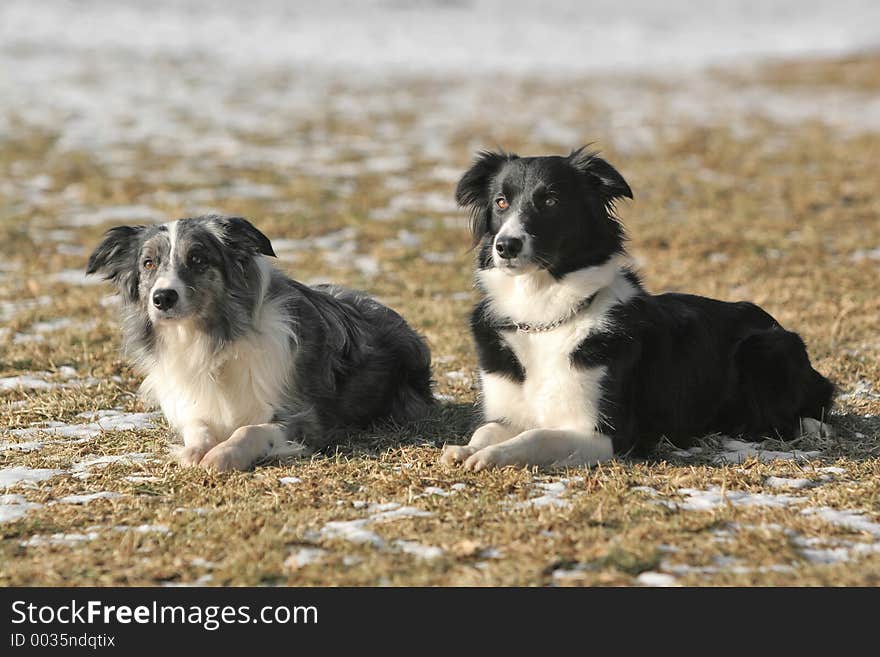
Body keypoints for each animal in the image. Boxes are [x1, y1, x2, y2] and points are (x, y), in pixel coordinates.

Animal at [87, 217, 432, 472]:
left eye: (198, 259)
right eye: (148, 263)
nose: (162, 298)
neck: (213, 338)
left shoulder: (304, 418)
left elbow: (250, 430)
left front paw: (222, 455)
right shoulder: (193, 406)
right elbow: (198, 427)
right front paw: (194, 451)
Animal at [444, 146, 836, 468]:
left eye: (551, 201)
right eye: (501, 202)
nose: (505, 246)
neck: (542, 313)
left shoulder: (605, 434)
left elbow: (536, 436)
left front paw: (491, 457)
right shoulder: (507, 412)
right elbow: (488, 430)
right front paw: (467, 449)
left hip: (766, 347)